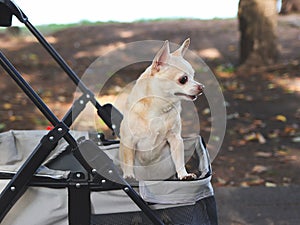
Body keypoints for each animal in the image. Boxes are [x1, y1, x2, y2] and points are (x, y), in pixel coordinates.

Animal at [119, 37, 204, 180]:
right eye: (184, 79)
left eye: (194, 75)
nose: (201, 87)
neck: (159, 108)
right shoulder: (128, 141)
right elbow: (128, 161)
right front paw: (129, 176)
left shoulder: (176, 139)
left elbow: (179, 160)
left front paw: (183, 174)